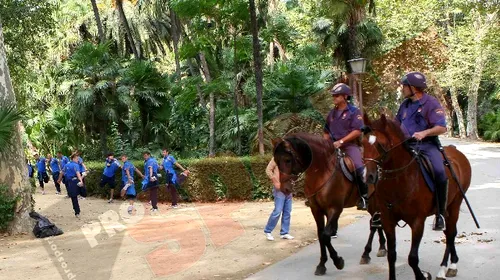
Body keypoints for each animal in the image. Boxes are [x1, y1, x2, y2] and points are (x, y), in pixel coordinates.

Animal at [274, 133, 386, 276]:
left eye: (287, 160)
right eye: (276, 161)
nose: (284, 188)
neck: (321, 173)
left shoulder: (335, 209)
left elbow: (326, 235)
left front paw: (338, 261)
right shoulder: (316, 210)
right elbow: (320, 235)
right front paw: (322, 265)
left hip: (374, 200)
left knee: (374, 223)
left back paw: (368, 253)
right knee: (375, 222)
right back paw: (379, 248)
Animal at [362, 115, 470, 278]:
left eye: (380, 145)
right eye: (361, 143)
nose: (368, 176)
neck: (399, 180)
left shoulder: (418, 222)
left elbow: (412, 258)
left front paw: (423, 276)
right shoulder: (387, 220)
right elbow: (391, 255)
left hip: (455, 205)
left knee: (450, 233)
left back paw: (447, 267)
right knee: (448, 232)